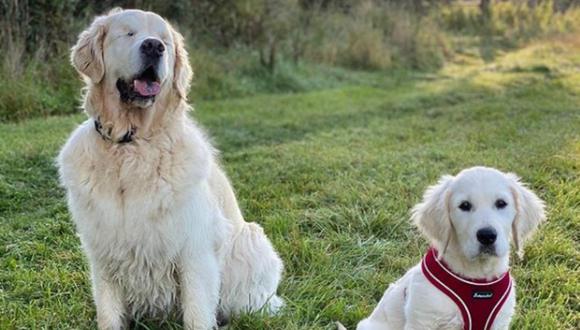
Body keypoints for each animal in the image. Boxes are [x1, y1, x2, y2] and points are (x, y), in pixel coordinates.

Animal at [58, 9, 284, 328]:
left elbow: (197, 314)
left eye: (164, 40)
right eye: (128, 33)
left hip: (252, 242)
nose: (154, 47)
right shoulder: (103, 253)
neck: (131, 145)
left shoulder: (194, 250)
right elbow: (108, 314)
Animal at [356, 168, 548, 330]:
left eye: (501, 203)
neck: (477, 278)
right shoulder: (423, 320)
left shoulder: (499, 323)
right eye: (464, 205)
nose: (487, 236)